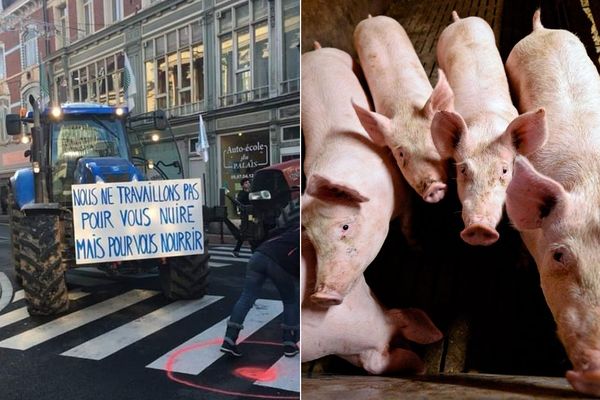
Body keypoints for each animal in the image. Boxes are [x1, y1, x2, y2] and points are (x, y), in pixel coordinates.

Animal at [302, 44, 406, 306]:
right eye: (313, 240)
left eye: (345, 227)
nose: (322, 296)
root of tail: (315, 51)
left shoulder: (401, 191)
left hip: (348, 59)